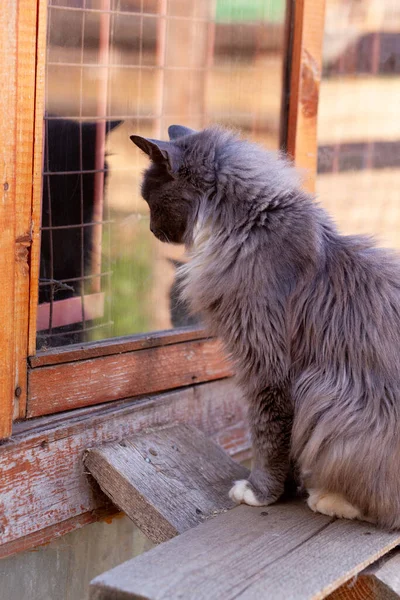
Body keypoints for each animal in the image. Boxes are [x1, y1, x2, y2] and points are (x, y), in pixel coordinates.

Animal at [131, 124, 400, 528]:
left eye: (150, 200)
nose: (150, 229)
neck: (246, 227)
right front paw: (286, 488)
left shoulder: (265, 364)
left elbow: (267, 433)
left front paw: (260, 493)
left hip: (327, 391)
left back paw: (331, 500)